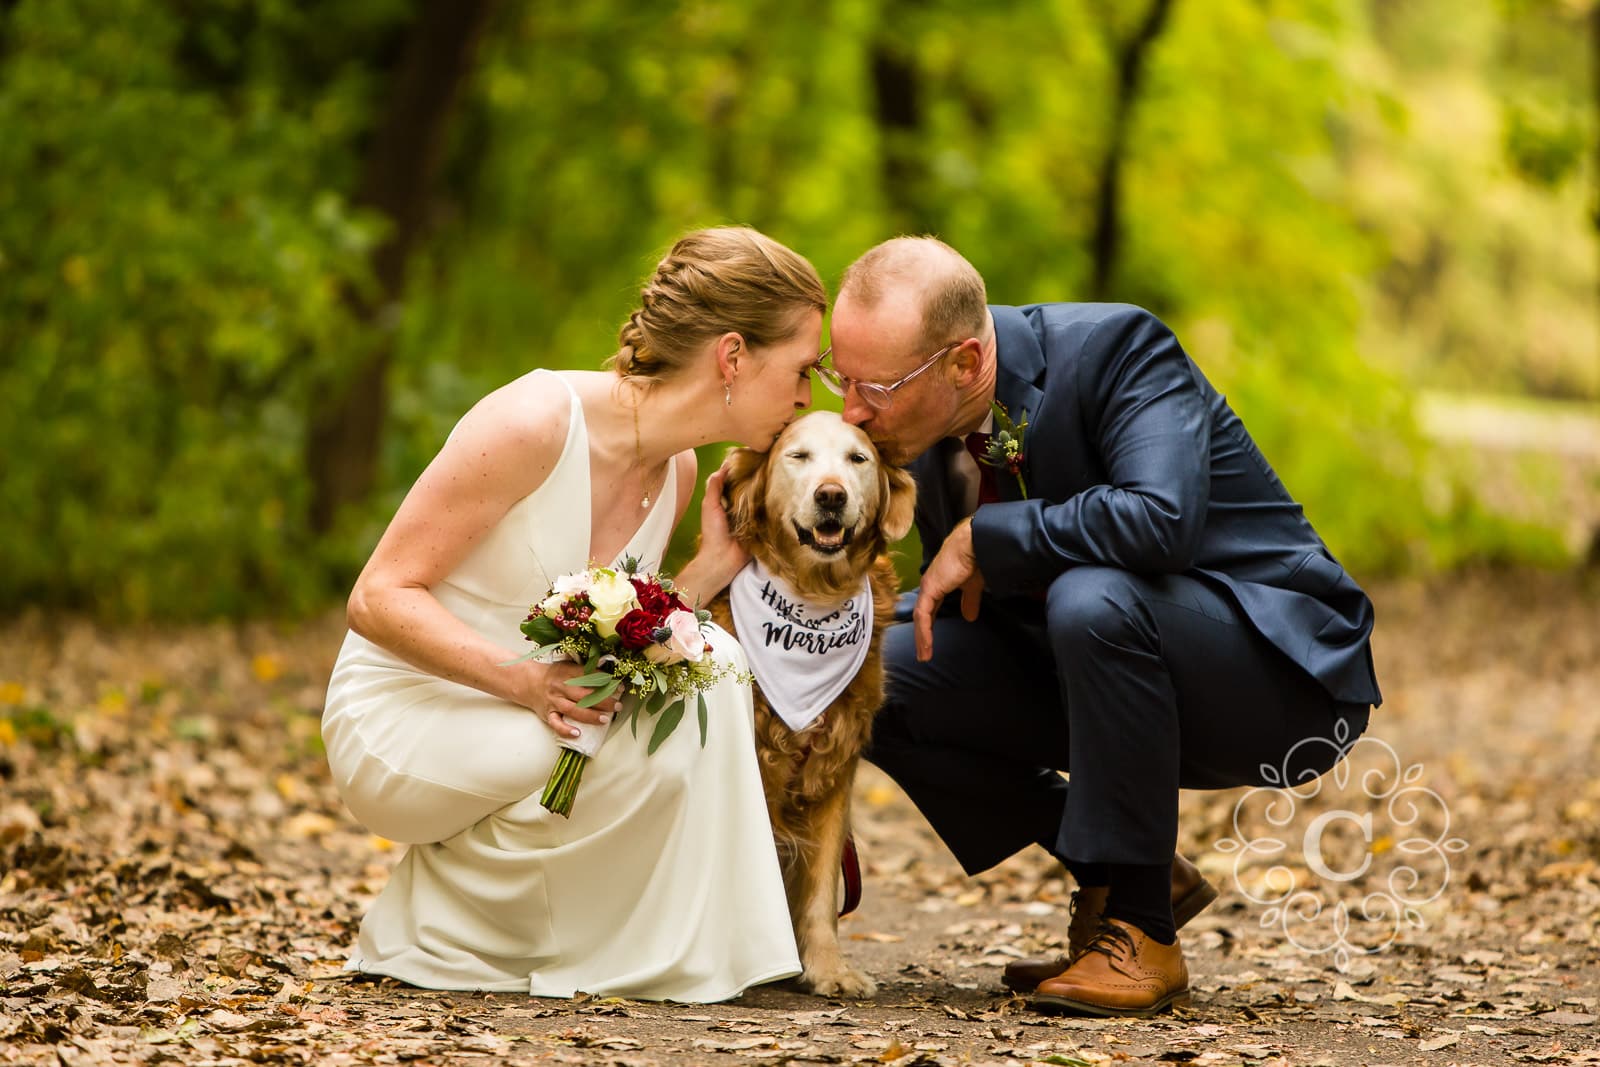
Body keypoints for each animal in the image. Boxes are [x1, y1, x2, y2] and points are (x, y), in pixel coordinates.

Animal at [710, 412, 921, 1004]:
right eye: (798, 456)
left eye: (858, 459)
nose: (831, 495)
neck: (812, 598)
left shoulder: (835, 770)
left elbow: (825, 884)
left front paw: (828, 968)